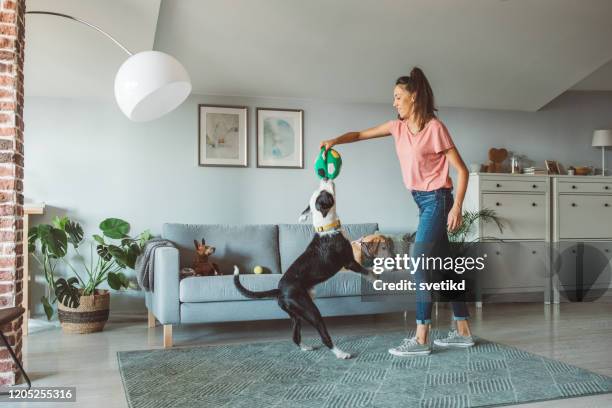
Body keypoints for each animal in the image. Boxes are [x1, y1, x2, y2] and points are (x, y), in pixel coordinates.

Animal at [233, 178, 372, 360]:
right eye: (324, 193)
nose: (325, 178)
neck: (326, 228)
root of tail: (279, 290)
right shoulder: (349, 262)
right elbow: (368, 271)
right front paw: (378, 278)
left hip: (296, 315)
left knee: (295, 336)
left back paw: (306, 347)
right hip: (311, 310)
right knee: (324, 337)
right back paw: (341, 353)